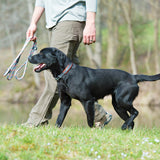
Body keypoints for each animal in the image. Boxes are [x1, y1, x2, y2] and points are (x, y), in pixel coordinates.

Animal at [28, 47, 160, 130]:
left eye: (41, 54)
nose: (29, 58)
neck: (67, 74)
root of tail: (133, 77)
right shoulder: (65, 101)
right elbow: (59, 118)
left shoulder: (88, 101)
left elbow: (89, 119)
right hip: (117, 105)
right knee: (131, 121)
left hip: (122, 100)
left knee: (135, 112)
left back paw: (123, 126)